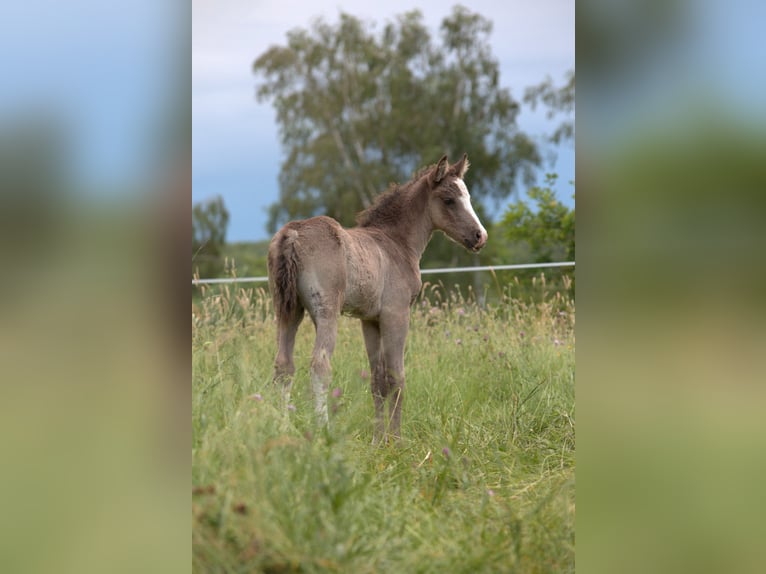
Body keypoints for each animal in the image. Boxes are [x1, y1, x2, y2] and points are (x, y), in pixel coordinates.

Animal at [267, 154, 487, 443]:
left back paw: (282, 429)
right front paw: (396, 440)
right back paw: (324, 430)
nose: (480, 236)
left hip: (289, 311)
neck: (396, 243)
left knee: (283, 366)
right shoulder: (397, 314)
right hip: (325, 313)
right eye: (449, 199)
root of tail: (293, 234)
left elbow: (377, 379)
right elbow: (396, 376)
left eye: (468, 196)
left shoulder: (370, 320)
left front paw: (377, 439)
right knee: (319, 366)